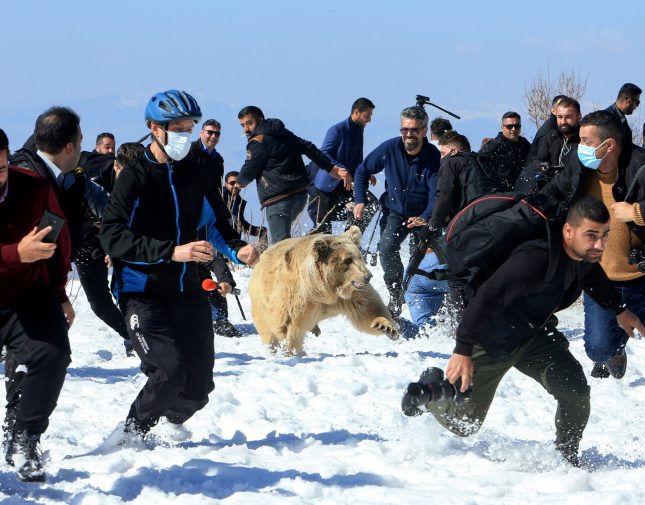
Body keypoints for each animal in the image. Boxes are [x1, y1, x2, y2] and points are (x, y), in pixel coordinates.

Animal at [248, 226, 394, 352]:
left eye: (360, 256)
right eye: (347, 260)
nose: (367, 276)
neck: (324, 291)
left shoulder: (350, 296)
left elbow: (368, 308)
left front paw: (385, 326)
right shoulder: (295, 297)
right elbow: (287, 325)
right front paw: (292, 350)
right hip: (260, 299)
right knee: (266, 329)